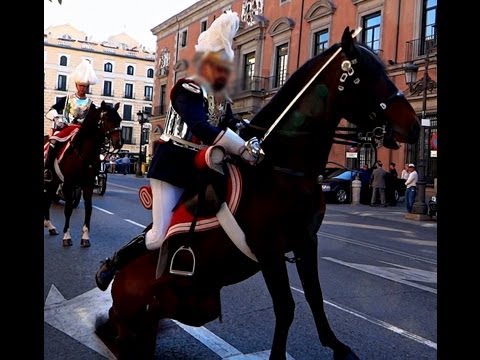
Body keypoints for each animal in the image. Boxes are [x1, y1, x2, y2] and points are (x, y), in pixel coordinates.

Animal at [42, 101, 124, 248]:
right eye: (107, 118)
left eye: (119, 119)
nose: (119, 143)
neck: (82, 152)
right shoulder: (68, 184)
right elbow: (68, 208)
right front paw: (67, 237)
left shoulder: (88, 184)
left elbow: (89, 208)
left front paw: (85, 237)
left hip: (54, 181)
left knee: (48, 199)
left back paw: (50, 226)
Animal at [96, 28, 420, 360]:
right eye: (366, 75)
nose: (414, 125)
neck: (282, 168)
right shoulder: (269, 250)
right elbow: (286, 307)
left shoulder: (306, 241)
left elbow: (314, 297)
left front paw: (337, 346)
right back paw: (107, 274)